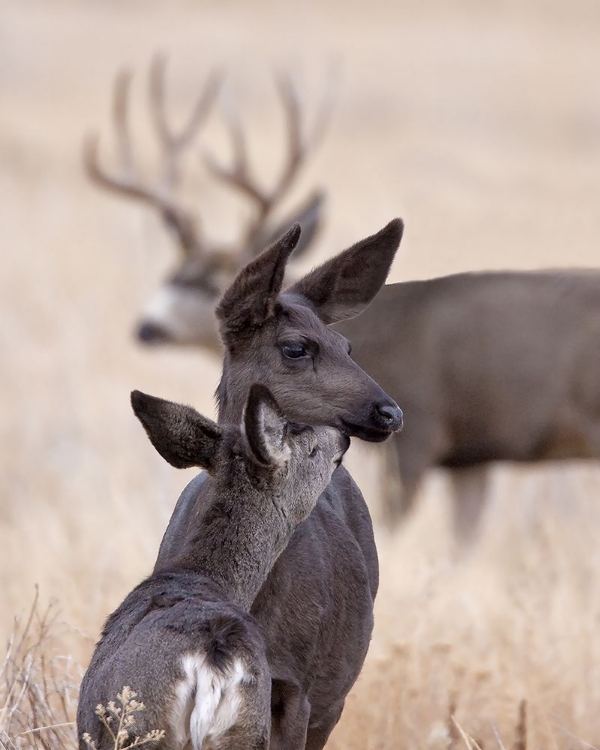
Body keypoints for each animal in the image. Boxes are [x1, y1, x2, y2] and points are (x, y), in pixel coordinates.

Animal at [75, 384, 350, 748]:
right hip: (247, 729)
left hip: (143, 728)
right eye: (313, 449)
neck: (202, 574)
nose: (343, 436)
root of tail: (213, 663)